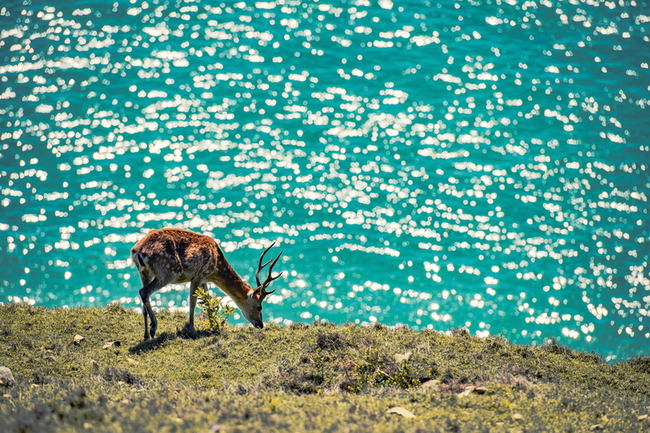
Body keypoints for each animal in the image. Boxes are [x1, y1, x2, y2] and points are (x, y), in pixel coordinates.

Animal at [130, 228, 282, 340]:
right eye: (259, 307)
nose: (261, 325)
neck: (216, 269)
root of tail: (137, 251)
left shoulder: (204, 279)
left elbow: (208, 300)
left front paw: (213, 325)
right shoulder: (198, 275)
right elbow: (193, 302)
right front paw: (191, 329)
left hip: (144, 273)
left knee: (143, 300)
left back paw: (146, 335)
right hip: (168, 272)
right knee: (144, 291)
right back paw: (153, 327)